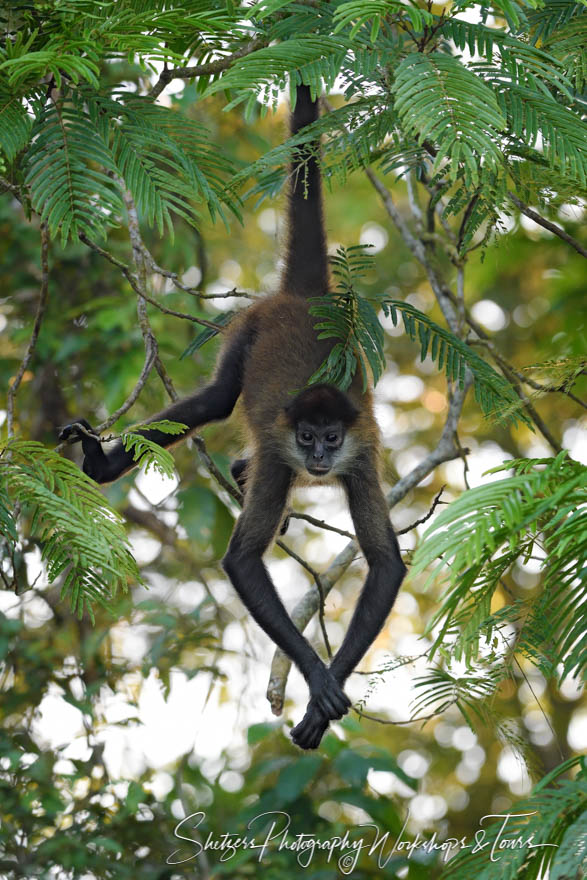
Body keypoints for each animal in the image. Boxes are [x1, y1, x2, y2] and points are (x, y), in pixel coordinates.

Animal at [60, 84, 408, 748]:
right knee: (221, 397)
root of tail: (303, 299)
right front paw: (317, 678)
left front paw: (325, 691)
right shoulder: (281, 451)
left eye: (330, 438)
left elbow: (385, 565)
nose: (317, 457)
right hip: (248, 328)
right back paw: (103, 463)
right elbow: (242, 561)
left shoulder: (362, 451)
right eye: (307, 436)